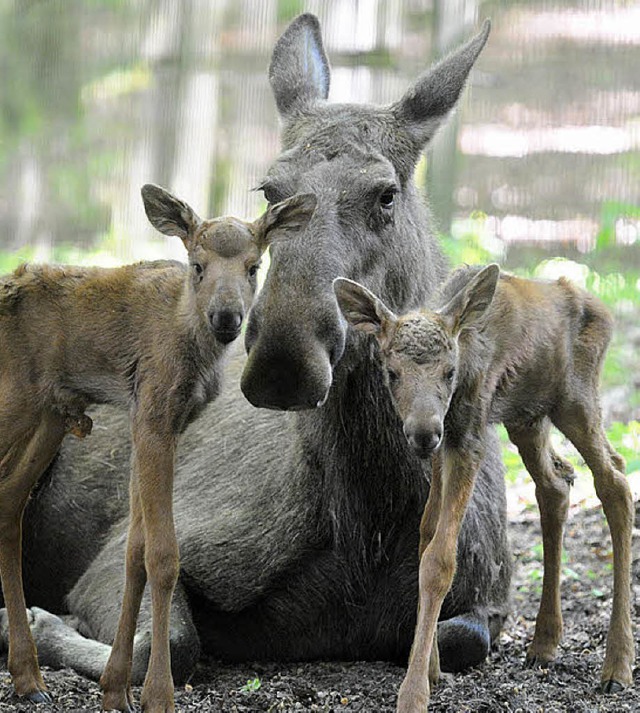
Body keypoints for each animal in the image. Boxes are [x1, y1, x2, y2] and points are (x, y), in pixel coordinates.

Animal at [0, 186, 316, 708]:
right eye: (197, 264)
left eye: (254, 266)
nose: (227, 318)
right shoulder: (152, 416)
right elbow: (163, 555)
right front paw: (158, 695)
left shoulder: (154, 422)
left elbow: (135, 550)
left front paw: (115, 689)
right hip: (16, 406)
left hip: (48, 418)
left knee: (8, 504)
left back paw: (28, 677)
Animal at [336, 264, 636, 708]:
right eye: (392, 373)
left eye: (449, 372)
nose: (422, 433)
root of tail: (602, 310)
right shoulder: (446, 442)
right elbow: (425, 535)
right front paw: (433, 668)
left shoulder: (469, 436)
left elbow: (440, 559)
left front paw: (414, 692)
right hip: (527, 416)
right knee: (556, 483)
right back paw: (544, 645)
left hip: (575, 400)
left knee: (614, 481)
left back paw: (616, 667)